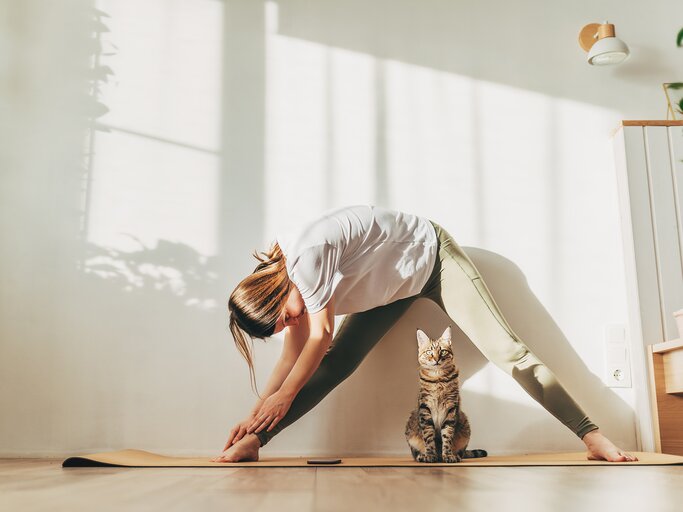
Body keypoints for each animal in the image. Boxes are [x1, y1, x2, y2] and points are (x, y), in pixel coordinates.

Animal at [406, 328, 486, 464]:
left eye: (442, 351)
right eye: (429, 352)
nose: (436, 359)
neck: (438, 378)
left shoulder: (451, 408)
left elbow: (447, 436)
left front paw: (448, 455)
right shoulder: (425, 408)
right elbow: (428, 436)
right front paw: (429, 455)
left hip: (465, 425)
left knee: (462, 452)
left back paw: (454, 455)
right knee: (415, 452)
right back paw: (422, 456)